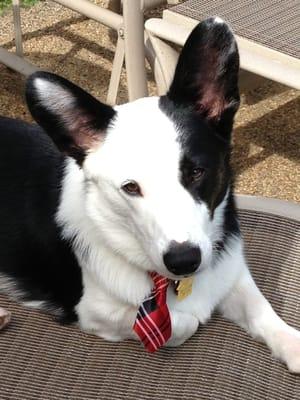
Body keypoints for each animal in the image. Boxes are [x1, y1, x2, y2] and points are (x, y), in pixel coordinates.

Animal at [0, 16, 300, 372]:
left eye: (196, 172)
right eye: (130, 187)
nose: (184, 261)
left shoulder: (230, 272)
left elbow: (263, 310)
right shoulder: (94, 311)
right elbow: (180, 323)